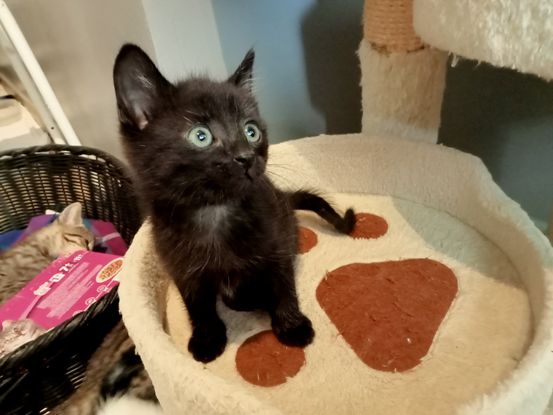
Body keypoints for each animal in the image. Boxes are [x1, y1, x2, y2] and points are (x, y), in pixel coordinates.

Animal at [112, 44, 356, 363]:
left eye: (251, 131)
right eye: (200, 136)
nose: (246, 157)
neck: (214, 212)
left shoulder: (275, 242)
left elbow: (283, 283)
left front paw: (291, 324)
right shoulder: (180, 265)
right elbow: (197, 305)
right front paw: (207, 338)